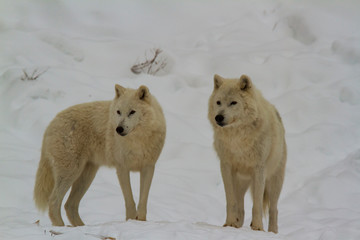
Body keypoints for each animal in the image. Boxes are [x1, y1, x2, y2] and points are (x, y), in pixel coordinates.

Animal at [208, 74, 286, 233]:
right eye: (218, 102)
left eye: (233, 103)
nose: (218, 117)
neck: (237, 138)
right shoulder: (226, 167)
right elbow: (231, 201)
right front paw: (229, 223)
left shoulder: (259, 169)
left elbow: (257, 204)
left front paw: (257, 227)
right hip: (240, 182)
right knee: (241, 208)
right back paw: (237, 225)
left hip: (274, 182)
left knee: (273, 209)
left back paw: (272, 232)